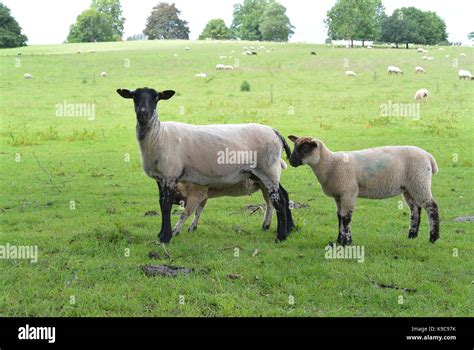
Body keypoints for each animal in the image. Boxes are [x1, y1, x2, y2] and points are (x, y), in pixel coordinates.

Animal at [117, 87, 294, 243]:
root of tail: (276, 133)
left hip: (268, 169)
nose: (142, 114)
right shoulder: (160, 178)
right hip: (260, 173)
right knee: (282, 195)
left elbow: (166, 206)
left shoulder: (169, 175)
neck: (158, 135)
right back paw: (286, 229)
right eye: (134, 97)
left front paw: (166, 237)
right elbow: (161, 204)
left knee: (279, 200)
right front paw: (161, 234)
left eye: (155, 97)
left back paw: (281, 236)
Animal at [286, 135, 438, 245]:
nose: (291, 161)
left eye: (305, 148)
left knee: (431, 206)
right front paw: (339, 239)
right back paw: (412, 235)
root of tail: (428, 157)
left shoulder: (349, 192)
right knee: (415, 209)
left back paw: (433, 238)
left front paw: (347, 242)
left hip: (419, 182)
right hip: (409, 188)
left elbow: (346, 218)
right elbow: (339, 216)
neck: (330, 164)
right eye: (295, 146)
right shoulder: (338, 196)